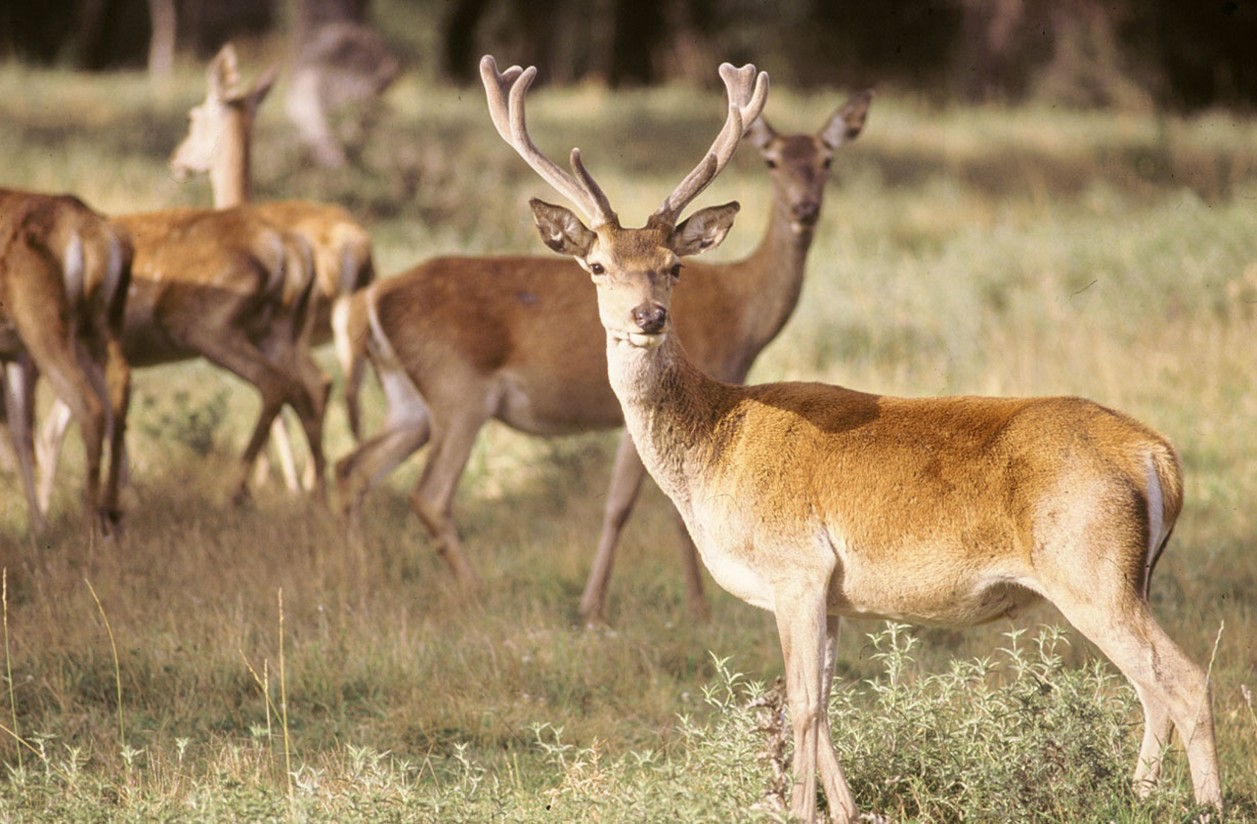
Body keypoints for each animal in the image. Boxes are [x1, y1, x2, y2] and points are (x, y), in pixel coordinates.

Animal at [0, 185, 132, 535]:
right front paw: (37, 526)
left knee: (90, 407)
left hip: (42, 326)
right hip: (95, 327)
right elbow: (19, 431)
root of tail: (91, 236)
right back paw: (113, 513)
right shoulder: (13, 351)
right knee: (118, 393)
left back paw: (91, 525)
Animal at [172, 43, 377, 489]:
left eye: (193, 116)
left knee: (318, 386)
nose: (176, 161)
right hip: (349, 333)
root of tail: (352, 245)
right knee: (354, 398)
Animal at [329, 74, 869, 618]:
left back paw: (357, 583)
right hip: (457, 390)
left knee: (352, 468)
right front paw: (612, 607)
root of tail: (366, 302)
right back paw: (474, 592)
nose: (649, 315)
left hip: (409, 402)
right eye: (772, 160)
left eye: (827, 160)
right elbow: (625, 506)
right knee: (429, 494)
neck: (742, 312)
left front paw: (687, 603)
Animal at [480, 54, 1216, 818]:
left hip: (1089, 565)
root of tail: (1157, 455)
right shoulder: (830, 593)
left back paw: (1206, 804)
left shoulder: (795, 566)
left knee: (1185, 681)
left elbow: (802, 707)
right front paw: (851, 808)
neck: (713, 450)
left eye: (673, 266)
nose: (647, 316)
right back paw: (1138, 796)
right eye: (596, 266)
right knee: (1152, 692)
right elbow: (826, 710)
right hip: (1127, 576)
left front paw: (800, 808)